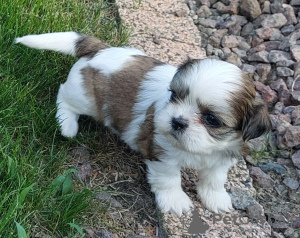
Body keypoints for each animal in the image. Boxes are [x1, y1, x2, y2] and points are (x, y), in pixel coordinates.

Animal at [15, 32, 270, 217]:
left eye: (211, 119)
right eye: (174, 96)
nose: (177, 121)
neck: (202, 149)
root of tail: (100, 49)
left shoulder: (224, 155)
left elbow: (214, 178)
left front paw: (215, 198)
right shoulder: (160, 152)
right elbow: (169, 178)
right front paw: (175, 200)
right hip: (84, 96)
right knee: (64, 97)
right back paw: (67, 125)